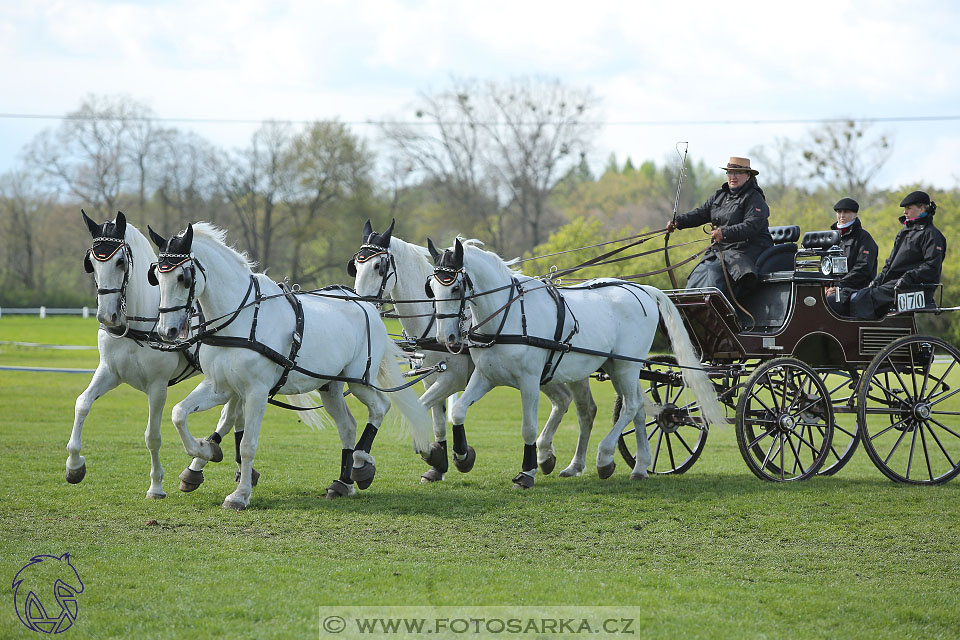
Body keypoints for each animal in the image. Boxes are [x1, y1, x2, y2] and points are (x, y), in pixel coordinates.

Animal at [70, 212, 251, 498]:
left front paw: (156, 486)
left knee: (231, 415)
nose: (106, 316)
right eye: (92, 263)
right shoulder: (109, 371)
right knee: (233, 416)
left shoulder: (157, 386)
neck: (140, 322)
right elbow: (82, 403)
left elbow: (152, 436)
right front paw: (74, 465)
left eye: (120, 262)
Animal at [151, 222, 432, 508]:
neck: (240, 318)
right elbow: (179, 413)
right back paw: (342, 483)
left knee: (380, 407)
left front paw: (240, 495)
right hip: (330, 386)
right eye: (157, 277)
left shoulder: (256, 391)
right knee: (347, 426)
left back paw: (361, 464)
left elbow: (248, 445)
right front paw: (205, 450)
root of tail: (366, 305)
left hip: (359, 380)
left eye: (183, 277)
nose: (167, 330)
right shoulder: (220, 386)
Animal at [348, 222, 596, 478]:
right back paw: (546, 455)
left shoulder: (453, 379)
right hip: (545, 374)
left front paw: (455, 455)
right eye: (355, 265)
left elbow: (421, 410)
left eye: (378, 266)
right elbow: (436, 422)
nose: (361, 302)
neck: (431, 320)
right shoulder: (431, 378)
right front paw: (437, 460)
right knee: (563, 400)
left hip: (573, 372)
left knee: (585, 410)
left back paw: (575, 464)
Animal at [430, 238, 728, 488]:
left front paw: (527, 472)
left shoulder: (529, 382)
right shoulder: (486, 377)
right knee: (634, 410)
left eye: (455, 286)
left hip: (626, 367)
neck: (509, 314)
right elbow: (458, 412)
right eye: (431, 288)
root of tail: (642, 289)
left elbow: (528, 428)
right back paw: (638, 467)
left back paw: (605, 457)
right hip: (617, 367)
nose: (446, 337)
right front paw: (462, 457)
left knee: (631, 405)